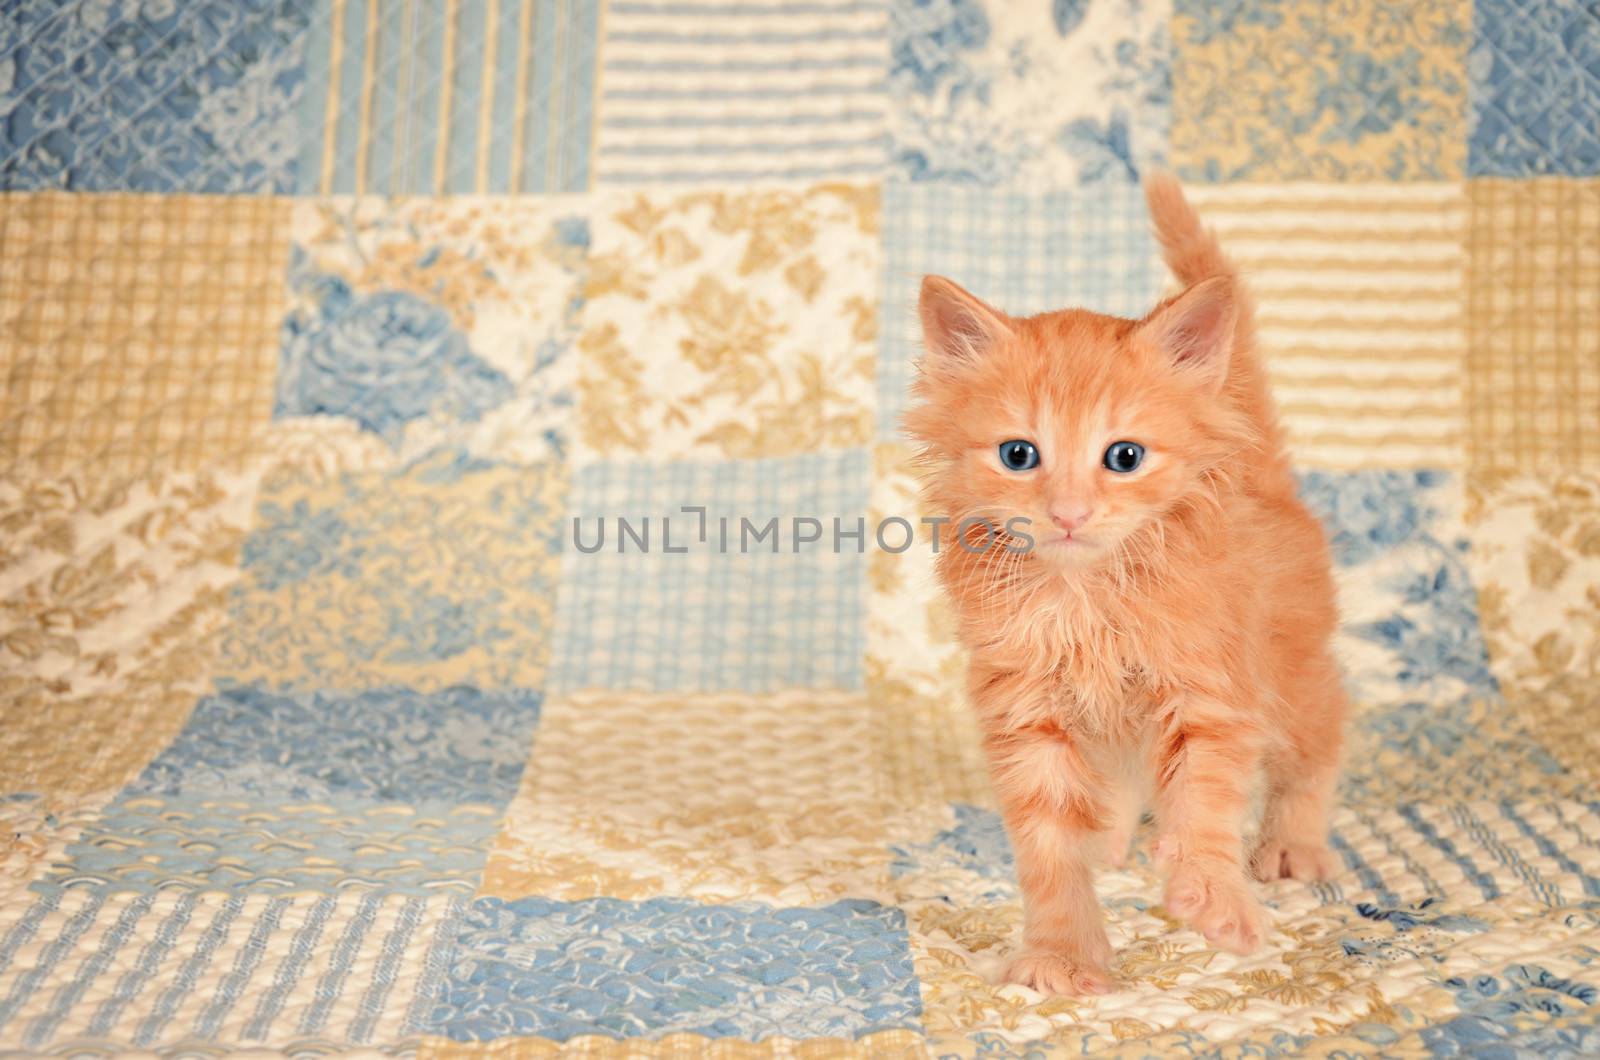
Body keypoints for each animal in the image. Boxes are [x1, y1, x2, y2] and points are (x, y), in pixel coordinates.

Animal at [908, 172, 1344, 999]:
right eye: (1019, 455)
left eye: (1124, 456)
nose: (1069, 513)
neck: (1086, 597)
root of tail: (1260, 476)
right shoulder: (1027, 708)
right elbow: (1049, 844)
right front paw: (1064, 954)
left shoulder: (1209, 691)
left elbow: (1204, 800)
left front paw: (1212, 896)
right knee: (1121, 779)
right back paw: (1109, 836)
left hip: (1296, 671)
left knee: (1314, 752)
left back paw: (1292, 845)